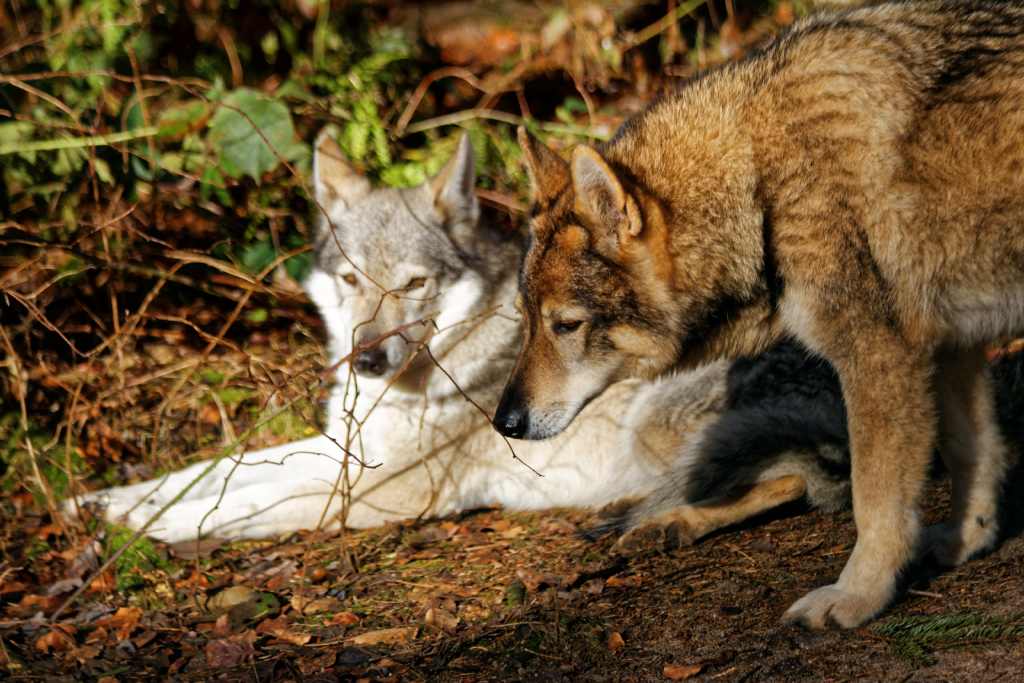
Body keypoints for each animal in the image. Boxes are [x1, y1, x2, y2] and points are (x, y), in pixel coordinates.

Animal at [66, 131, 856, 544]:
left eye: (414, 284)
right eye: (352, 281)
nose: (368, 358)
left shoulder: (386, 491)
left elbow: (245, 501)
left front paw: (153, 526)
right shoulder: (343, 450)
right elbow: (215, 468)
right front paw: (109, 502)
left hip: (657, 424)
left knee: (805, 481)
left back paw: (664, 524)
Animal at [493, 0, 1024, 630]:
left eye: (567, 325)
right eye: (524, 319)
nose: (504, 423)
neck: (760, 184)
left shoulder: (879, 355)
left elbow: (874, 500)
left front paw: (857, 597)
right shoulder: (947, 345)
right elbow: (974, 452)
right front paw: (967, 543)